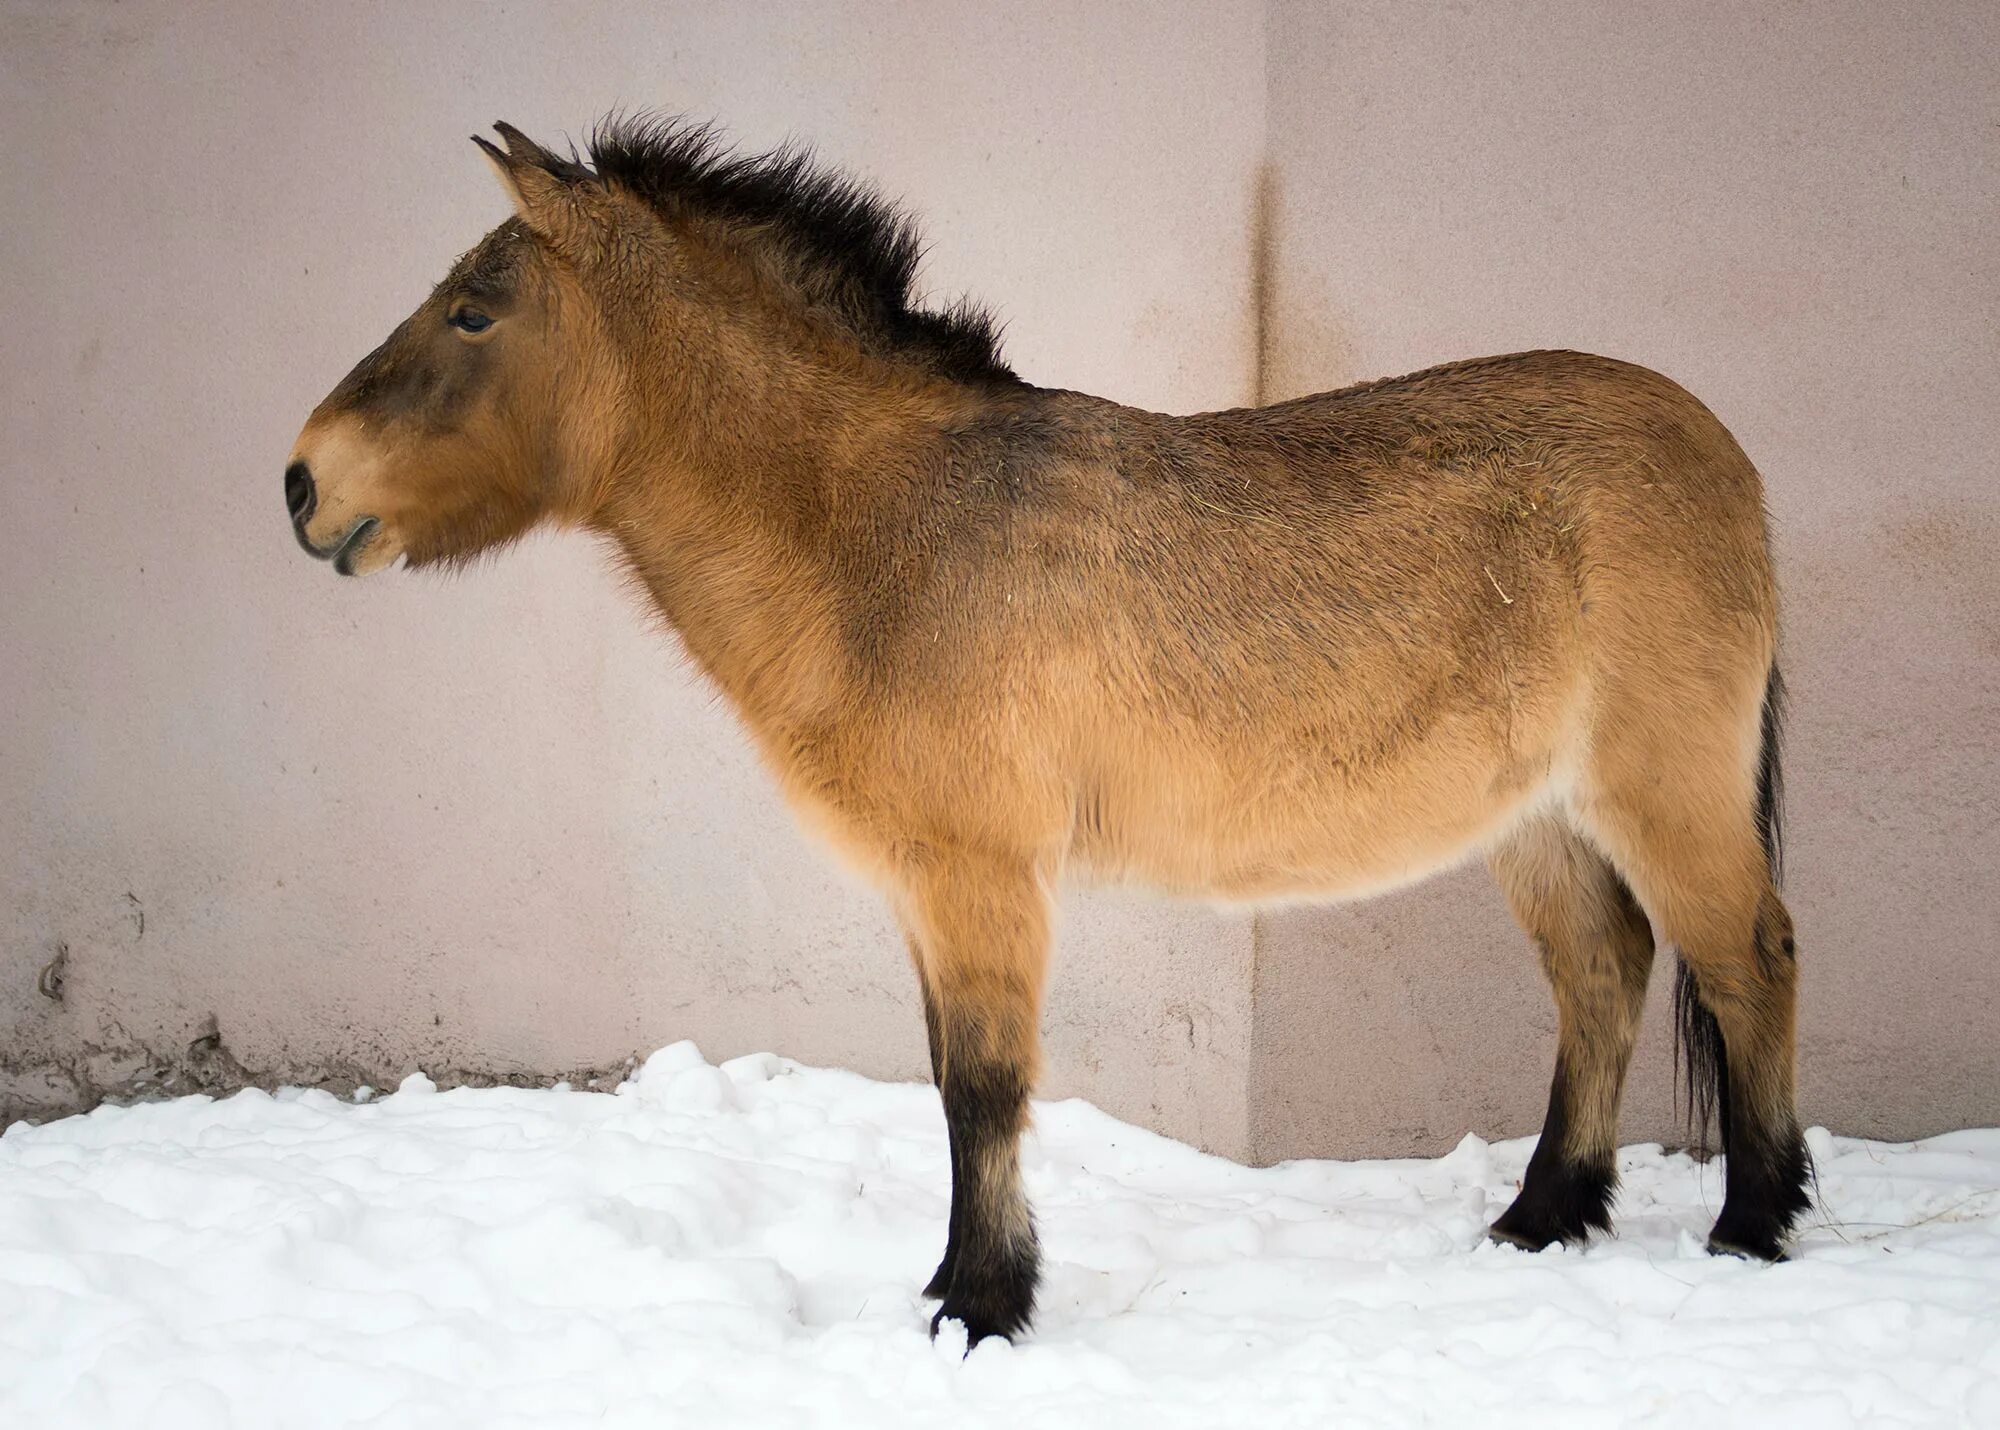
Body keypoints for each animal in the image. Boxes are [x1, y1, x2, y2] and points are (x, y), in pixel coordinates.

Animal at [292, 114, 1816, 1344]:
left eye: (473, 314)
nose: (304, 482)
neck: (883, 529)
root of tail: (1725, 454)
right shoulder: (929, 887)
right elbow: (949, 1085)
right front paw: (953, 1284)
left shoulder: (984, 877)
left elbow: (982, 1088)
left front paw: (980, 1307)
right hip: (1538, 819)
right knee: (1604, 974)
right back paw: (1543, 1216)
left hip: (1662, 791)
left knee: (1747, 958)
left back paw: (1754, 1222)